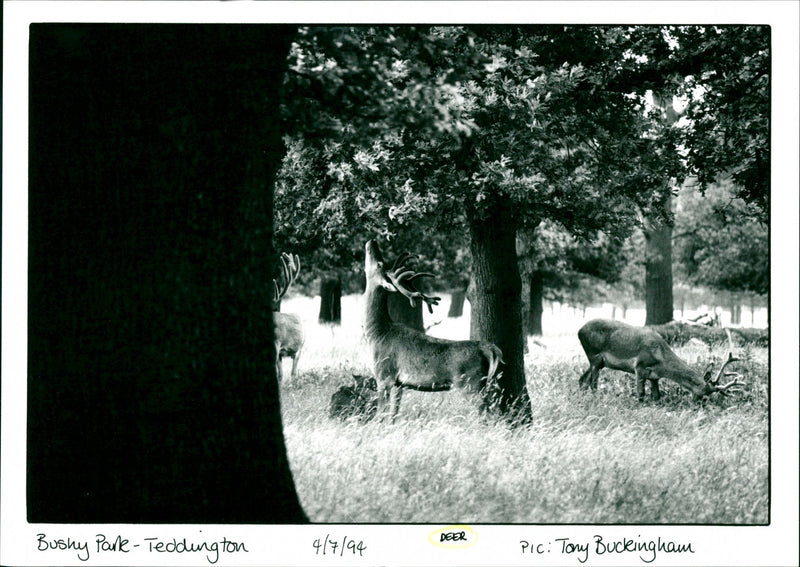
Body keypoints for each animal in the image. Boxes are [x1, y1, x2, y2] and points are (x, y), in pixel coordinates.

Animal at [362, 239, 504, 421]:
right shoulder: (399, 384)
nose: (372, 241)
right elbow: (393, 415)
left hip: (470, 384)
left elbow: (380, 414)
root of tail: (489, 348)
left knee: (486, 415)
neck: (377, 333)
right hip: (482, 384)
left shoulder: (384, 374)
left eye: (379, 263)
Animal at [577, 319, 745, 402]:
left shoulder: (654, 376)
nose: (698, 406)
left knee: (582, 379)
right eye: (702, 394)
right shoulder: (639, 367)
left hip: (599, 362)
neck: (661, 360)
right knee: (593, 384)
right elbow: (641, 394)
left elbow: (657, 396)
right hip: (594, 354)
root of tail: (579, 330)